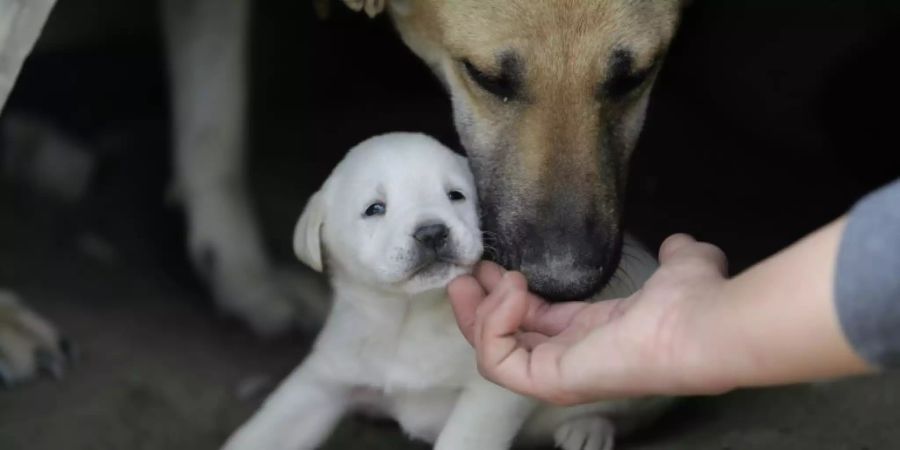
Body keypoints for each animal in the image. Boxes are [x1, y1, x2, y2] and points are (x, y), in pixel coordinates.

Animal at [221, 132, 664, 448]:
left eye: (455, 195)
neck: (407, 318)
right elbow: (266, 431)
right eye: (375, 209)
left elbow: (463, 438)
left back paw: (588, 429)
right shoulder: (322, 379)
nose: (432, 232)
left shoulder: (491, 395)